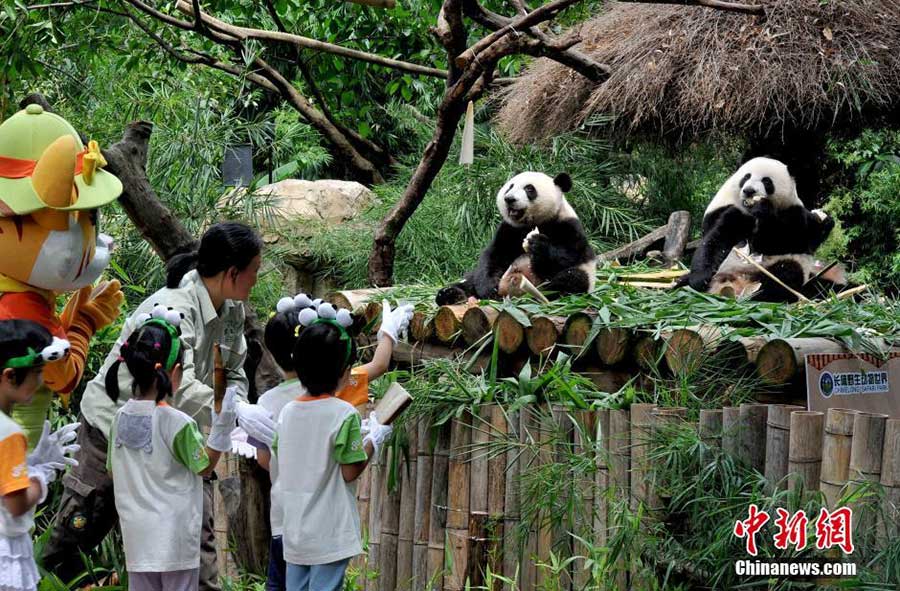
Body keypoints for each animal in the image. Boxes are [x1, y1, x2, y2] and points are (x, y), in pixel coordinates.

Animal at [436, 171, 596, 306]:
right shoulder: (509, 229)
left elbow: (569, 256)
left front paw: (537, 244)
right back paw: (452, 294)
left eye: (529, 189)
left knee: (572, 279)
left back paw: (538, 295)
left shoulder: (568, 226)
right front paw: (490, 289)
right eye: (510, 187)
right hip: (472, 279)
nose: (509, 199)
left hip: (584, 275)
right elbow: (493, 256)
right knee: (467, 282)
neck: (532, 223)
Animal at [684, 157, 844, 302]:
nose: (749, 191)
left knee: (787, 274)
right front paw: (700, 278)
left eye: (766, 181)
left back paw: (760, 293)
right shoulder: (726, 211)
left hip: (776, 267)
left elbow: (785, 240)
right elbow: (717, 238)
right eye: (746, 176)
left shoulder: (792, 213)